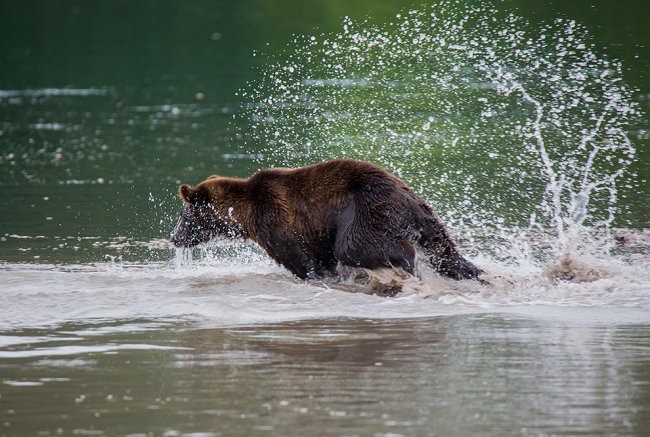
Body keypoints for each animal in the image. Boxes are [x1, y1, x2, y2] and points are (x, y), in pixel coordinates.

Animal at [168, 158, 480, 282]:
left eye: (184, 216)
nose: (173, 238)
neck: (242, 215)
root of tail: (410, 197)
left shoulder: (277, 221)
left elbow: (300, 260)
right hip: (425, 218)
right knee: (444, 251)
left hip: (366, 210)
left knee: (355, 246)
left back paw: (406, 262)